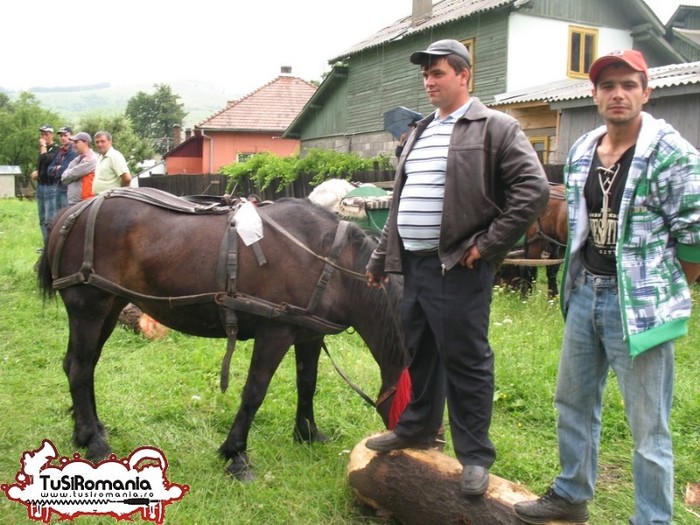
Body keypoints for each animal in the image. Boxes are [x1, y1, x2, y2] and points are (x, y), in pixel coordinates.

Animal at [38, 186, 408, 482]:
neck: (328, 261)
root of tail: (71, 212)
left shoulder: (308, 335)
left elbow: (308, 384)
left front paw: (307, 433)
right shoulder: (275, 332)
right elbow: (254, 392)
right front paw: (236, 454)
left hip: (111, 305)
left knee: (81, 365)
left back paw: (87, 431)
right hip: (89, 307)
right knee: (80, 368)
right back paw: (95, 441)